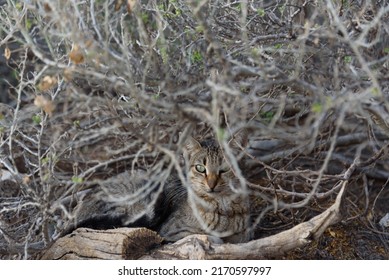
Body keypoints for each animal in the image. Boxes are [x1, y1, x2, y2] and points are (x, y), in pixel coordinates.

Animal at [66, 136, 252, 243]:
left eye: (224, 169)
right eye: (200, 168)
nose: (211, 184)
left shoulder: (244, 233)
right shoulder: (172, 232)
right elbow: (211, 238)